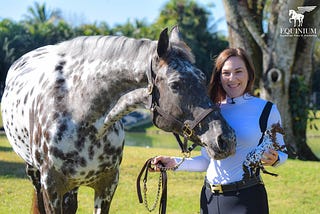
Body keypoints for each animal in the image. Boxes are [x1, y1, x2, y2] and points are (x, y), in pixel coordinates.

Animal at [1, 25, 236, 213]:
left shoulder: (107, 185)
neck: (77, 111)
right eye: (175, 84)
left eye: (204, 78)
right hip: (35, 175)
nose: (226, 139)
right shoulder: (52, 188)